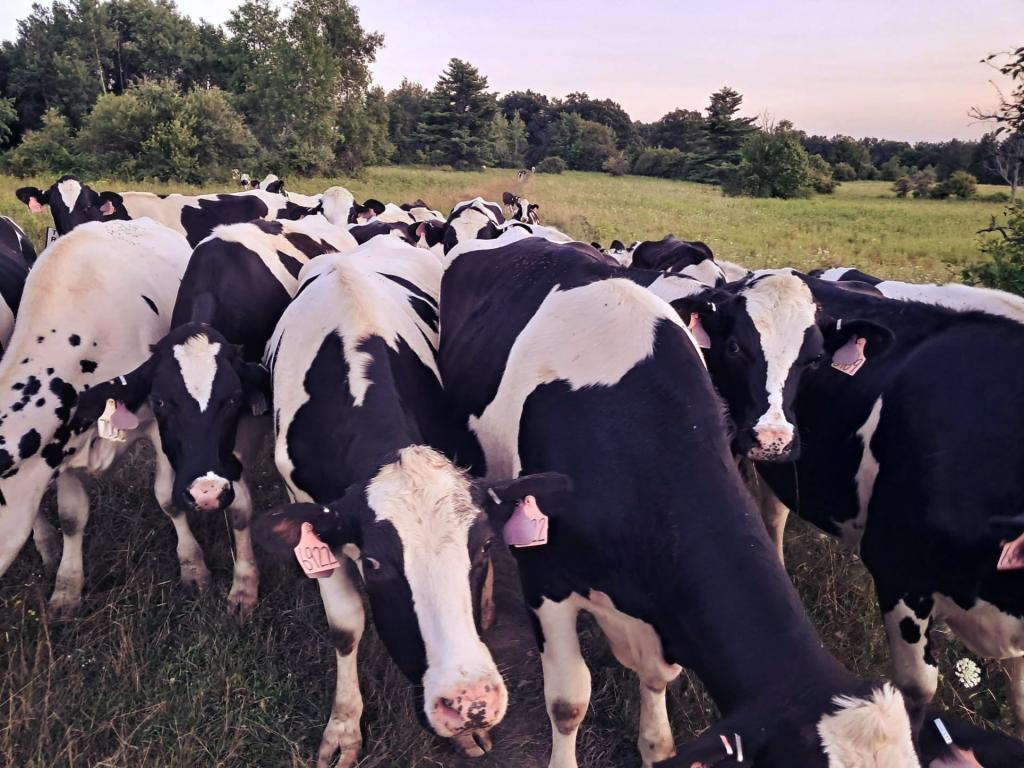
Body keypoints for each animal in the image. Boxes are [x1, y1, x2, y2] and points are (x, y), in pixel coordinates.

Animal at [0, 219, 190, 617]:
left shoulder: (160, 423)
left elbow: (168, 497)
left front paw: (194, 567)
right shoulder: (62, 445)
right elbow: (72, 517)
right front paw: (67, 589)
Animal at [68, 217, 358, 616]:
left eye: (232, 399)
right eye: (160, 402)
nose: (204, 493)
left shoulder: (250, 422)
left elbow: (239, 508)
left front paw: (244, 586)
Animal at [252, 238, 517, 767]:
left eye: (480, 549)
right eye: (375, 563)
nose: (471, 703)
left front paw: (466, 735)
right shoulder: (313, 512)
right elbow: (345, 625)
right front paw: (344, 727)